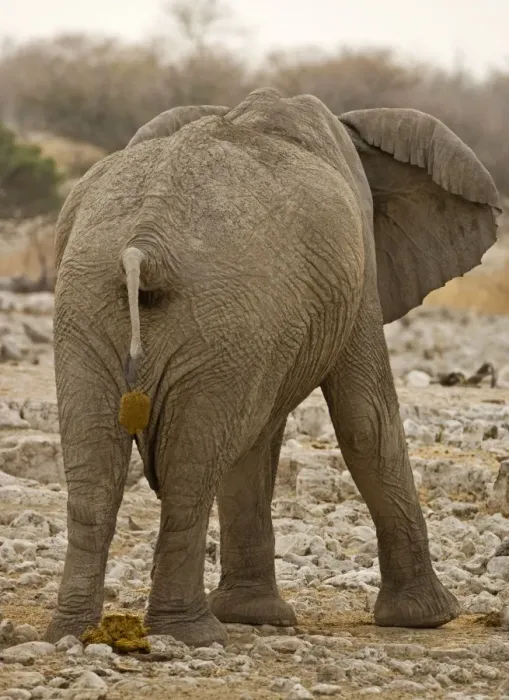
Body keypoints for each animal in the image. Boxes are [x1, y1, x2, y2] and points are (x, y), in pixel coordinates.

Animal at [45, 87, 501, 647]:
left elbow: (259, 439)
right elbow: (365, 419)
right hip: (212, 315)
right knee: (190, 471)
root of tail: (145, 244)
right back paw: (193, 636)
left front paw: (255, 616)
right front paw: (432, 618)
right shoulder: (357, 265)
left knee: (98, 476)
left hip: (95, 306)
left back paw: (74, 632)